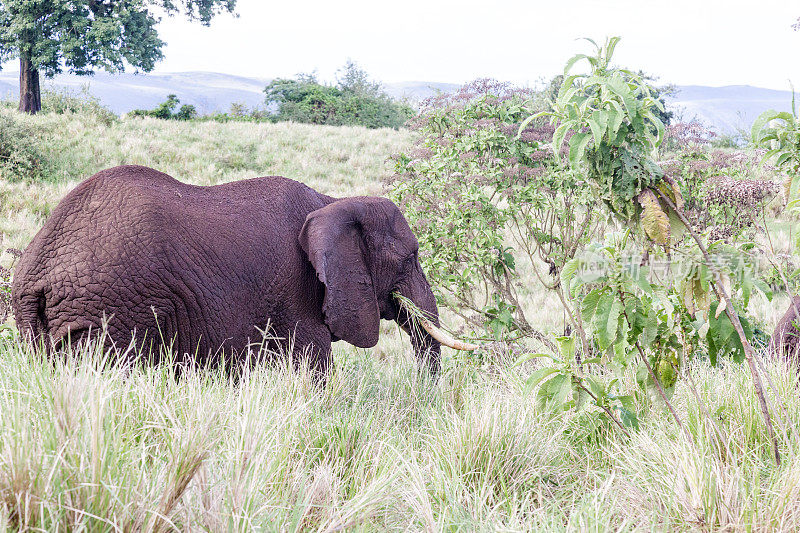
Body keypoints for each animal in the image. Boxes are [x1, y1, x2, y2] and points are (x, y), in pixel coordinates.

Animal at [10, 164, 476, 376]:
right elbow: (313, 370)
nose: (423, 396)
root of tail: (37, 266)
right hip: (109, 311)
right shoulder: (297, 294)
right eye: (410, 258)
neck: (334, 202)